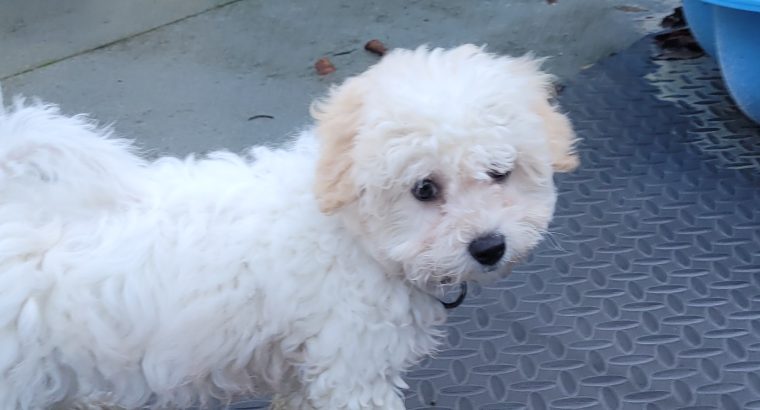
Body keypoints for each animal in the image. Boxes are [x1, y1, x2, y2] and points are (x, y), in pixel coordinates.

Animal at [0, 44, 576, 406]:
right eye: (424, 189)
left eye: (499, 172)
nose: (489, 246)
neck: (353, 235)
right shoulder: (353, 365)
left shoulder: (306, 365)